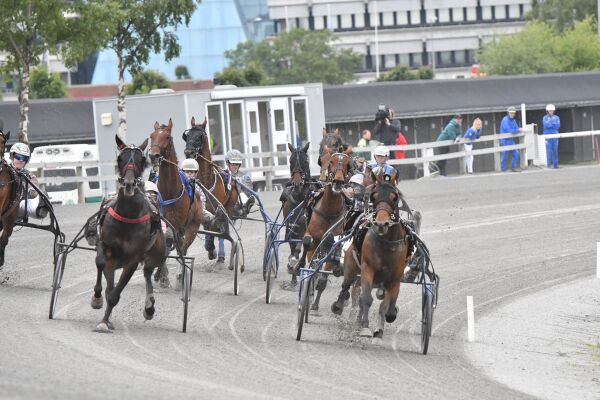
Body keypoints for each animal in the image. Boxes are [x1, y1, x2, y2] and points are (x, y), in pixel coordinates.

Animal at [91, 136, 166, 332]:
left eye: (142, 160)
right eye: (120, 159)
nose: (129, 184)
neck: (127, 216)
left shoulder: (133, 259)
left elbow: (115, 295)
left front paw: (104, 322)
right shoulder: (105, 245)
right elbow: (100, 262)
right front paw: (97, 300)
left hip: (157, 253)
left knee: (148, 272)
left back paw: (149, 307)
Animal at [149, 117, 204, 286]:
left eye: (167, 137)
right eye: (151, 136)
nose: (153, 156)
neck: (168, 192)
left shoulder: (176, 224)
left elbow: (174, 245)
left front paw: (166, 275)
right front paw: (161, 275)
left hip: (192, 228)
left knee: (183, 248)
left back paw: (180, 275)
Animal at [183, 115, 239, 260]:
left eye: (200, 136)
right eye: (187, 135)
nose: (188, 152)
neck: (205, 181)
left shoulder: (215, 209)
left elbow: (213, 230)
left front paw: (211, 248)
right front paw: (210, 248)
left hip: (229, 206)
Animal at [296, 152, 352, 310]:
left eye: (347, 164)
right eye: (331, 162)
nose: (338, 181)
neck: (329, 210)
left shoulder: (332, 243)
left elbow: (323, 277)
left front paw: (314, 305)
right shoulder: (312, 235)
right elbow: (307, 243)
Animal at [330, 180, 410, 342]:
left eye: (394, 198)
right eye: (374, 196)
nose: (381, 224)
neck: (386, 244)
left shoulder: (394, 278)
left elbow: (387, 307)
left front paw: (380, 328)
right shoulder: (367, 270)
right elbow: (366, 299)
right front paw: (365, 328)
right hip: (351, 267)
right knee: (345, 286)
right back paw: (338, 306)